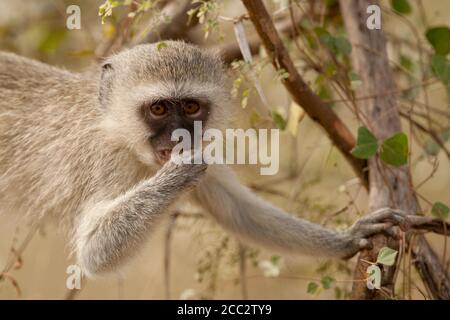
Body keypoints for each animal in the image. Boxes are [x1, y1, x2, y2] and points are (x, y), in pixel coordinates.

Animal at [0, 41, 400, 278]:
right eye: (159, 109)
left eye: (191, 107)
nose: (181, 136)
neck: (126, 140)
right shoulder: (106, 157)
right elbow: (95, 252)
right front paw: (181, 170)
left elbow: (237, 210)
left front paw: (347, 238)